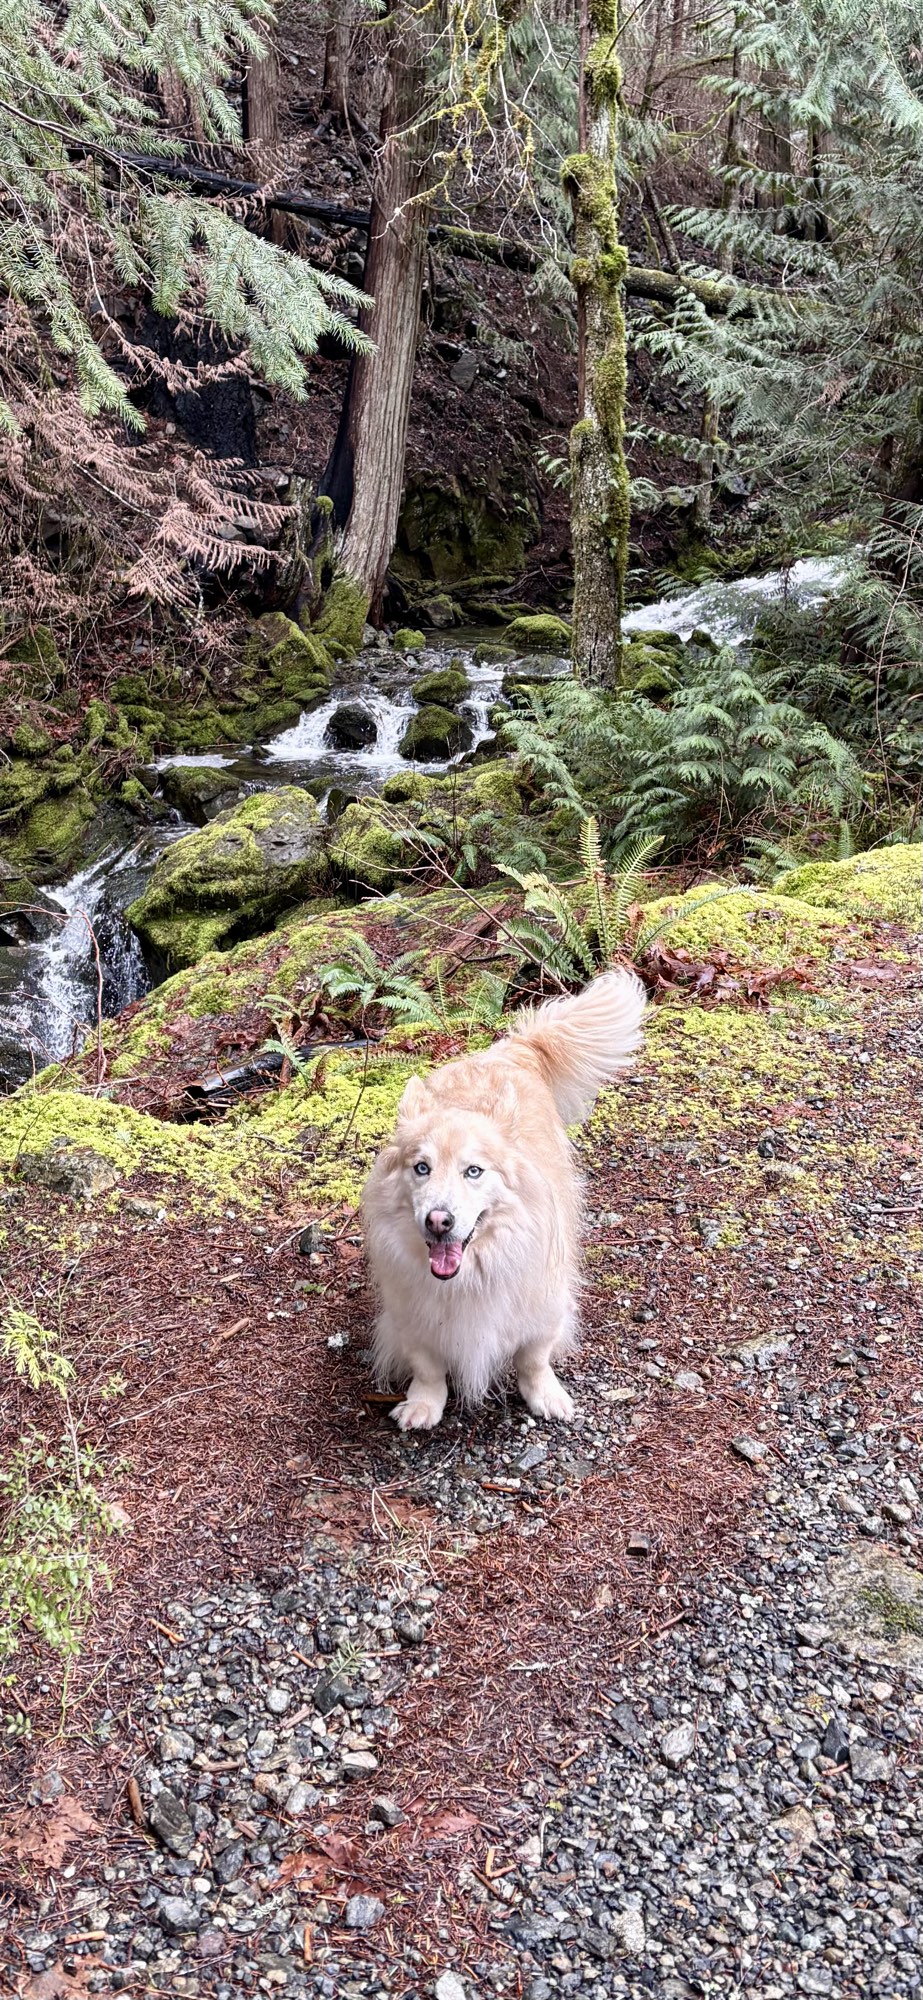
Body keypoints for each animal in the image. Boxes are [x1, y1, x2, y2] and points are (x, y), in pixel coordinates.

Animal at [361, 968, 647, 1431]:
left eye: (474, 1171)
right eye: (421, 1167)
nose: (438, 1221)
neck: (469, 1275)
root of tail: (508, 1050)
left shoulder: (542, 1307)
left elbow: (533, 1359)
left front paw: (545, 1396)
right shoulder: (413, 1318)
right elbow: (428, 1368)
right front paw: (424, 1404)